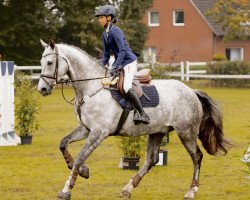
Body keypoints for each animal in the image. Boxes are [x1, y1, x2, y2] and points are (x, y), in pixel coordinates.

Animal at [38, 39, 233, 199]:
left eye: (49, 62)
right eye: (41, 63)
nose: (42, 89)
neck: (92, 87)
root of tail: (191, 91)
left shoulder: (99, 133)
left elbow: (80, 158)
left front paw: (66, 190)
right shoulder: (85, 129)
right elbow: (63, 144)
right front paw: (84, 172)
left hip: (186, 132)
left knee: (197, 157)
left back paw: (191, 191)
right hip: (157, 132)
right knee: (151, 160)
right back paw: (127, 188)